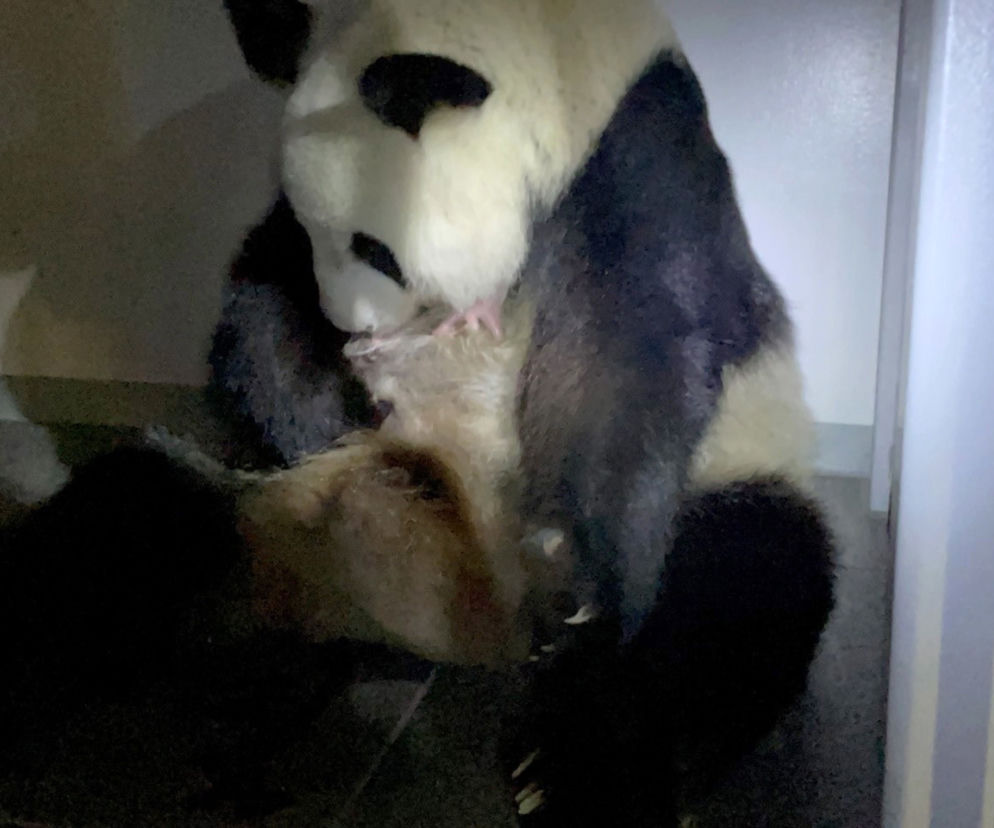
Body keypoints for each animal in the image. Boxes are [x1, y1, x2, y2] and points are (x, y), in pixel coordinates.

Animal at [217, 1, 836, 825]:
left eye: (375, 248)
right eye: (317, 232)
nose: (350, 326)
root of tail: (486, 627)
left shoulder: (639, 155)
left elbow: (629, 345)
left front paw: (573, 568)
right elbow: (261, 294)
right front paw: (320, 411)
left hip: (736, 474)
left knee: (736, 596)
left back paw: (573, 767)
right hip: (290, 535)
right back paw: (260, 709)